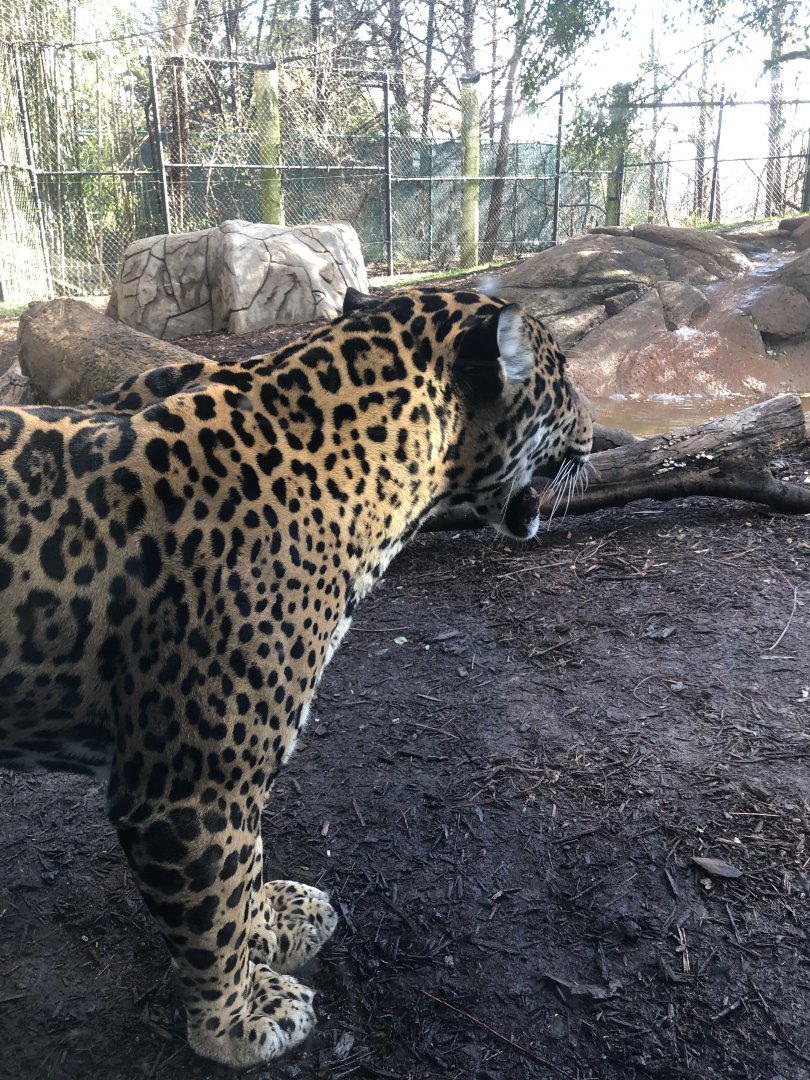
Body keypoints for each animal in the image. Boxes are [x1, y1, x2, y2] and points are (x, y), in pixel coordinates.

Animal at [0, 287, 592, 1068]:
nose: (597, 433)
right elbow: (209, 919)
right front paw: (237, 1024)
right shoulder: (187, 792)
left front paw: (271, 923)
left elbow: (241, 872)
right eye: (564, 380)